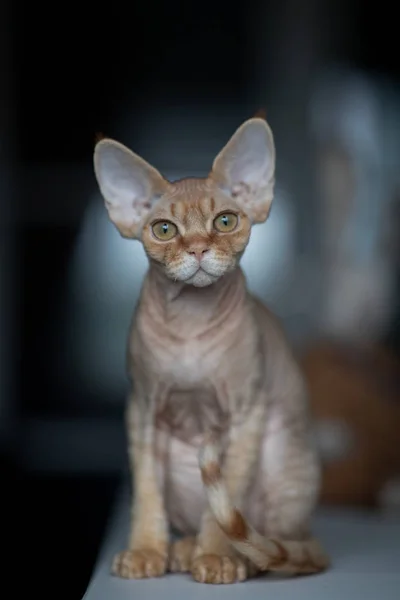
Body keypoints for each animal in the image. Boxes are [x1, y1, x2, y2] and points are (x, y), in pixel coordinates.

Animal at [92, 115, 330, 584]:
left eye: (224, 221)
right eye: (165, 229)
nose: (199, 249)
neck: (190, 326)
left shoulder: (244, 415)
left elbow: (226, 496)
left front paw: (218, 557)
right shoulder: (142, 409)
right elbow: (146, 491)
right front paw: (146, 550)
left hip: (283, 457)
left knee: (277, 543)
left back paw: (243, 557)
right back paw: (182, 549)